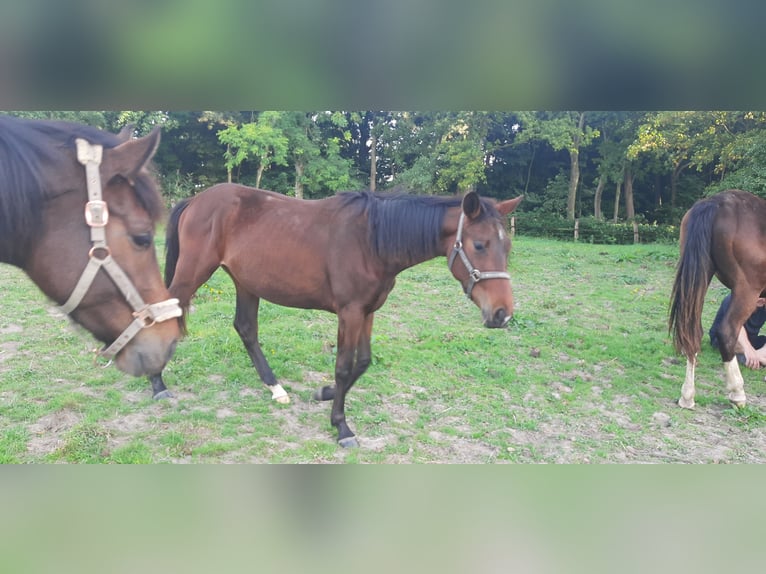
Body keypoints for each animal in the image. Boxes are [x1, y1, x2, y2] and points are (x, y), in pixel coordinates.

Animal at [165, 182, 524, 448]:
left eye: (507, 248)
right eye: (479, 245)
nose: (502, 314)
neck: (371, 241)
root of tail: (197, 199)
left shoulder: (367, 311)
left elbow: (362, 362)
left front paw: (324, 394)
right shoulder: (349, 312)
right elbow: (343, 367)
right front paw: (341, 426)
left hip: (246, 282)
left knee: (246, 328)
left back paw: (275, 388)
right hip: (193, 273)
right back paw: (158, 385)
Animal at [668, 191, 764, 412]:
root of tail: (717, 202)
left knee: (693, 333)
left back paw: (687, 396)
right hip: (746, 290)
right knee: (727, 332)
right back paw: (737, 392)